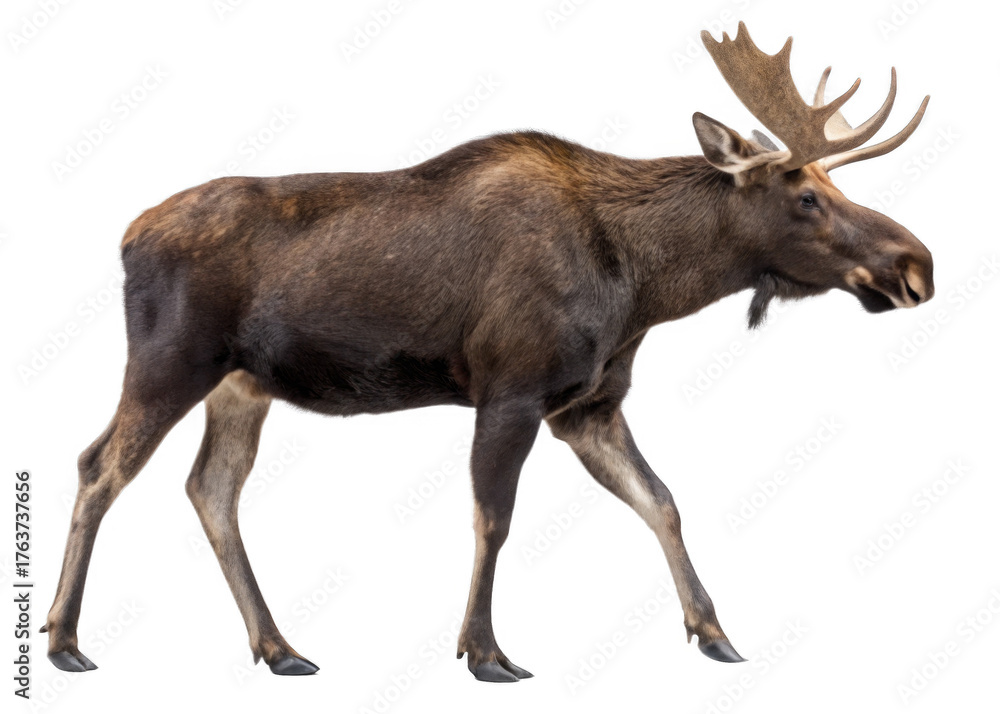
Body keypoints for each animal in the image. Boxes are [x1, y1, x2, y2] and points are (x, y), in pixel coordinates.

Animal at [42, 22, 933, 681]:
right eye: (807, 195)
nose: (915, 263)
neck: (645, 285)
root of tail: (127, 236)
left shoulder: (589, 406)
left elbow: (662, 501)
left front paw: (715, 632)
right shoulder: (511, 392)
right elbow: (494, 519)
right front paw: (486, 652)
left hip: (243, 383)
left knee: (211, 488)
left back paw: (281, 647)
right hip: (171, 361)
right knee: (99, 465)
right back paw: (63, 640)